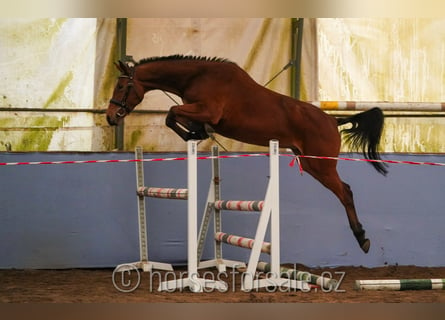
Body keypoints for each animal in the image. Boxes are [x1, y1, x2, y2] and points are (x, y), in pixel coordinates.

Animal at [106, 55, 386, 255]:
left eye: (121, 86)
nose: (110, 117)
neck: (197, 76)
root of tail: (332, 120)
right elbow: (173, 116)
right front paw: (196, 132)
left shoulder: (209, 111)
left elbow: (172, 113)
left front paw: (194, 133)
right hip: (310, 164)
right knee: (343, 190)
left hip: (321, 166)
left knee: (345, 192)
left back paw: (362, 238)